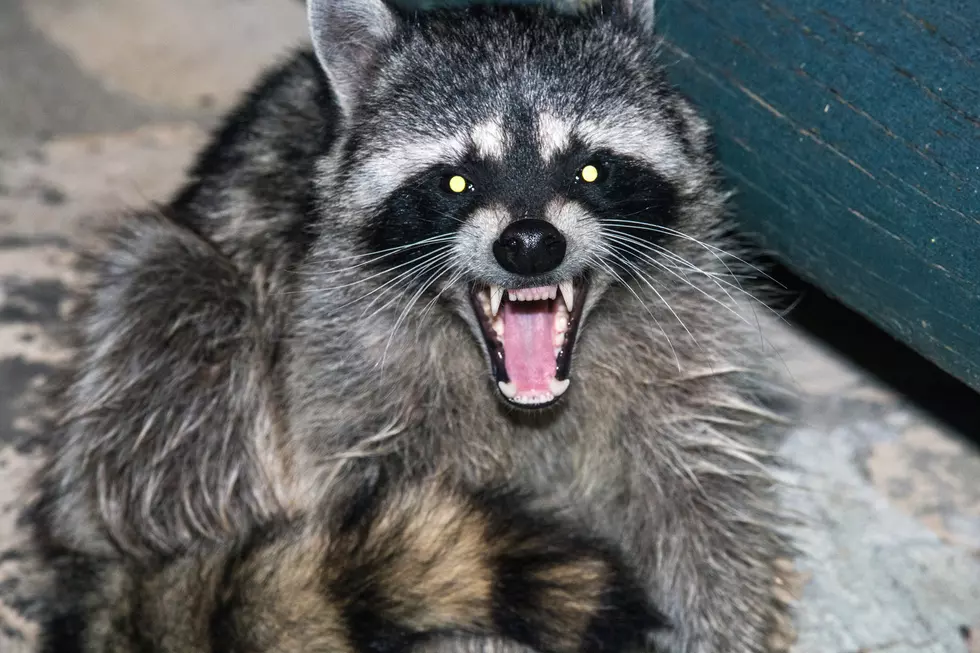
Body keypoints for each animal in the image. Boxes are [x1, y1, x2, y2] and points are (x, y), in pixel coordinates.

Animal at [34, 1, 792, 652]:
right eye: (457, 182)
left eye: (590, 169)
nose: (530, 244)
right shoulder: (347, 380)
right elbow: (409, 535)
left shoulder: (684, 349)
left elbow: (704, 507)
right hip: (176, 328)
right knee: (171, 297)